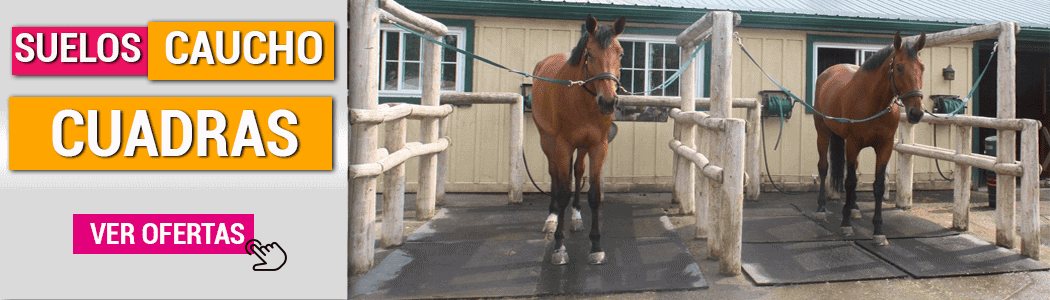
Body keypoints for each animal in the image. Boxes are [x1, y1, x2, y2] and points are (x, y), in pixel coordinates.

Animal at [533, 15, 621, 264]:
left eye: (620, 53)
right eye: (589, 53)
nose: (608, 102)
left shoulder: (597, 145)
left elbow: (594, 194)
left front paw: (596, 246)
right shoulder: (563, 145)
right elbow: (563, 191)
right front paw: (559, 247)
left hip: (581, 147)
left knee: (578, 171)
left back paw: (576, 217)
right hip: (547, 141)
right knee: (555, 174)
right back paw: (552, 218)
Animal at [810, 31, 928, 244]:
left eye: (922, 67)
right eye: (899, 67)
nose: (916, 112)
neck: (873, 102)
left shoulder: (885, 147)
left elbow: (878, 186)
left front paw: (878, 230)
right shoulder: (852, 144)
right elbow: (849, 182)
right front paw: (846, 224)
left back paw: (854, 207)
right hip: (823, 133)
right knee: (823, 167)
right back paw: (821, 208)